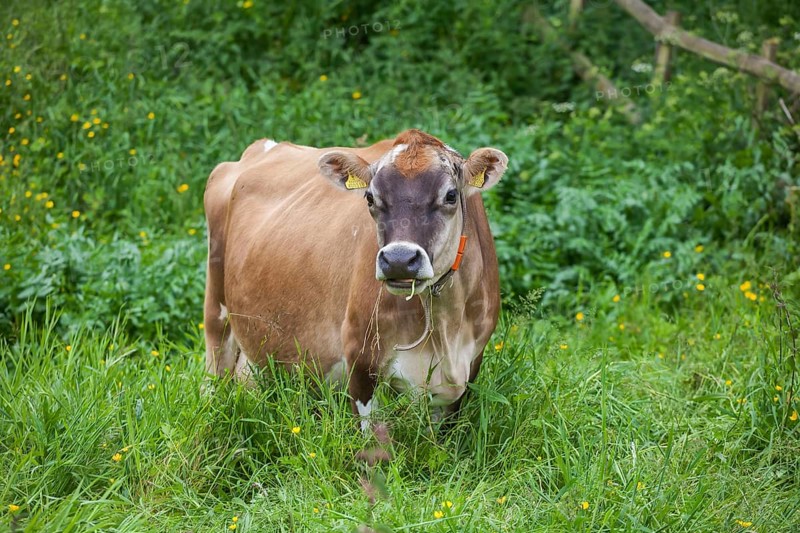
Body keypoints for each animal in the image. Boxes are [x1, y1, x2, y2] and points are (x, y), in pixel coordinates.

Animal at [203, 129, 507, 425]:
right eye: (370, 198)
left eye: (451, 195)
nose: (399, 260)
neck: (447, 330)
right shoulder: (361, 358)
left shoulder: (469, 368)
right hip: (216, 313)